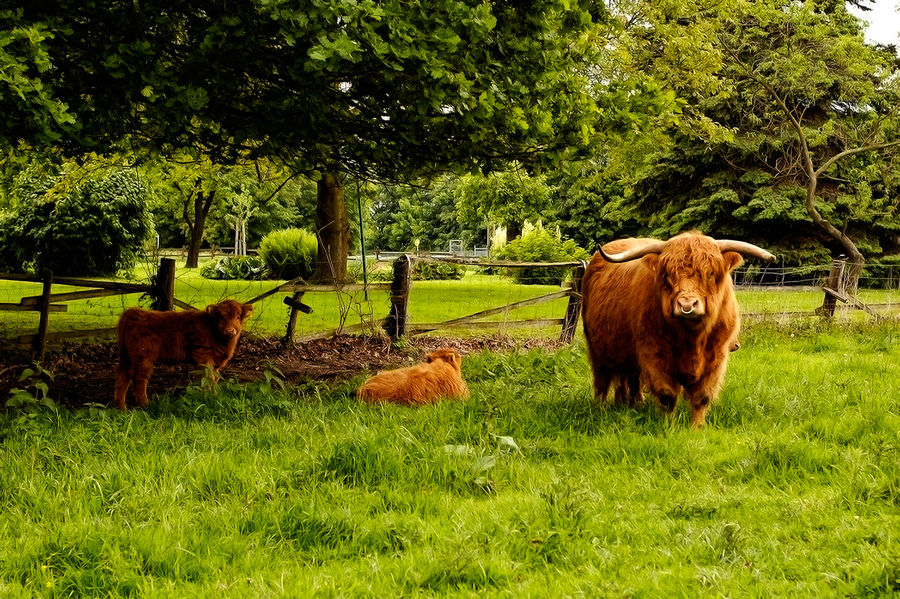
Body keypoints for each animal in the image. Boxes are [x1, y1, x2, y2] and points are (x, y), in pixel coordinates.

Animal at [114, 298, 253, 410]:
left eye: (237, 316)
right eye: (221, 317)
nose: (230, 330)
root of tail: (133, 312)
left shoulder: (215, 363)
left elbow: (214, 378)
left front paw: (215, 396)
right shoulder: (203, 356)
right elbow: (208, 378)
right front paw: (208, 397)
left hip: (126, 356)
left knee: (123, 376)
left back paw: (121, 408)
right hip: (143, 357)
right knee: (138, 378)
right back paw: (145, 405)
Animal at [584, 233, 772, 426]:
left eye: (710, 273)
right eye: (668, 275)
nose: (687, 305)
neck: (692, 337)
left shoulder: (716, 358)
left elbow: (702, 397)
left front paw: (697, 426)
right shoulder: (654, 354)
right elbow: (667, 395)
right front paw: (668, 425)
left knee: (629, 380)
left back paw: (631, 404)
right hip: (598, 349)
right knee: (602, 381)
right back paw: (601, 407)